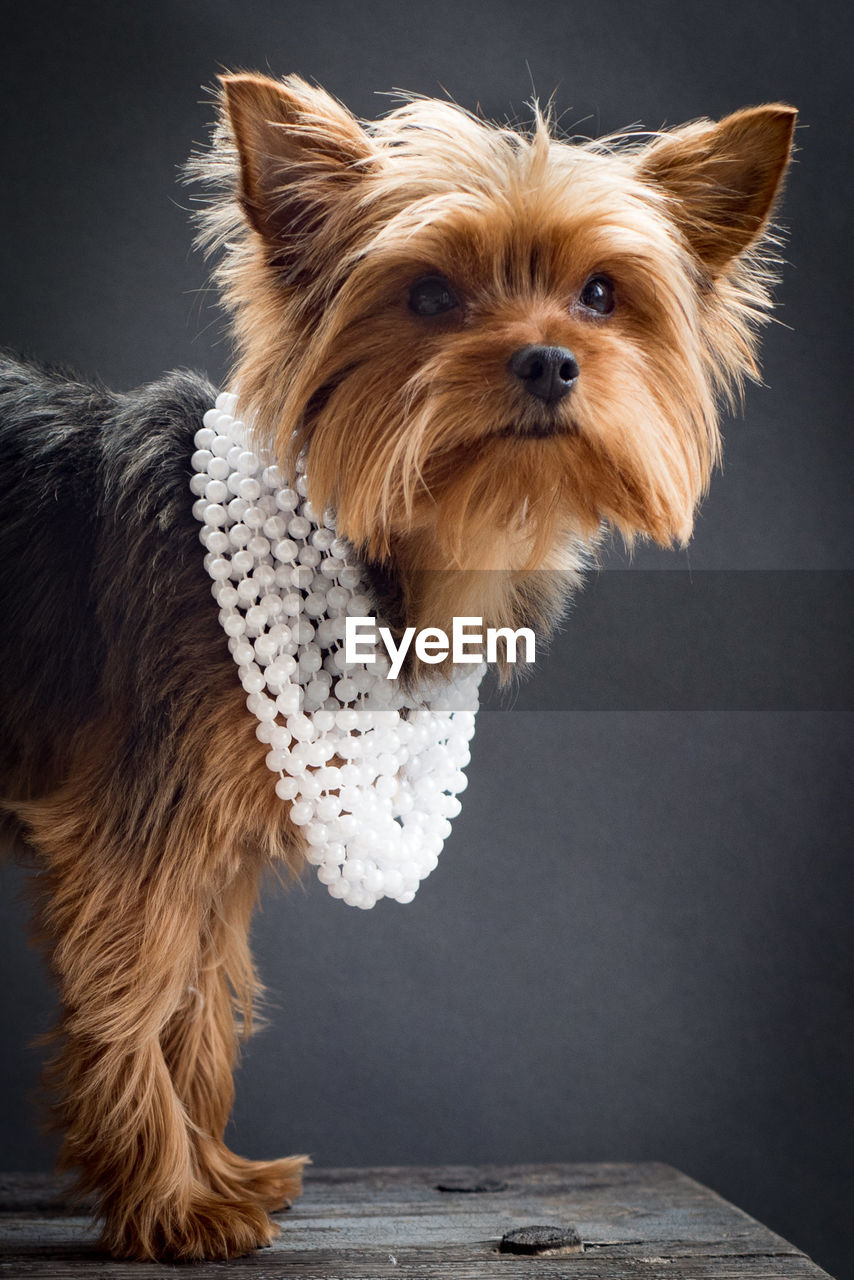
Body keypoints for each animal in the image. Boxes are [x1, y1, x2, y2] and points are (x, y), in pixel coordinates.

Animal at [3, 77, 798, 1259]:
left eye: (600, 294)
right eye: (428, 294)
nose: (548, 360)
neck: (408, 556)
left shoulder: (209, 835)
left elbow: (199, 1001)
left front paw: (217, 1174)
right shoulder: (135, 826)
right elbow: (137, 991)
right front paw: (177, 1204)